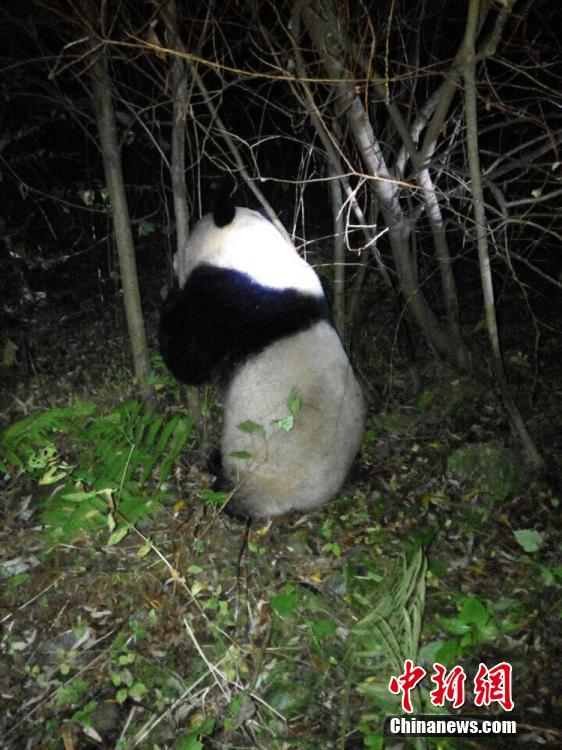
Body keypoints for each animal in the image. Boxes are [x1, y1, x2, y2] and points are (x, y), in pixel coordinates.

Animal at [160, 197, 366, 520]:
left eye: (188, 238)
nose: (173, 257)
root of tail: (299, 503)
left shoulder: (231, 302)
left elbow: (190, 360)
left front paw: (169, 300)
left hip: (257, 465)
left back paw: (218, 474)